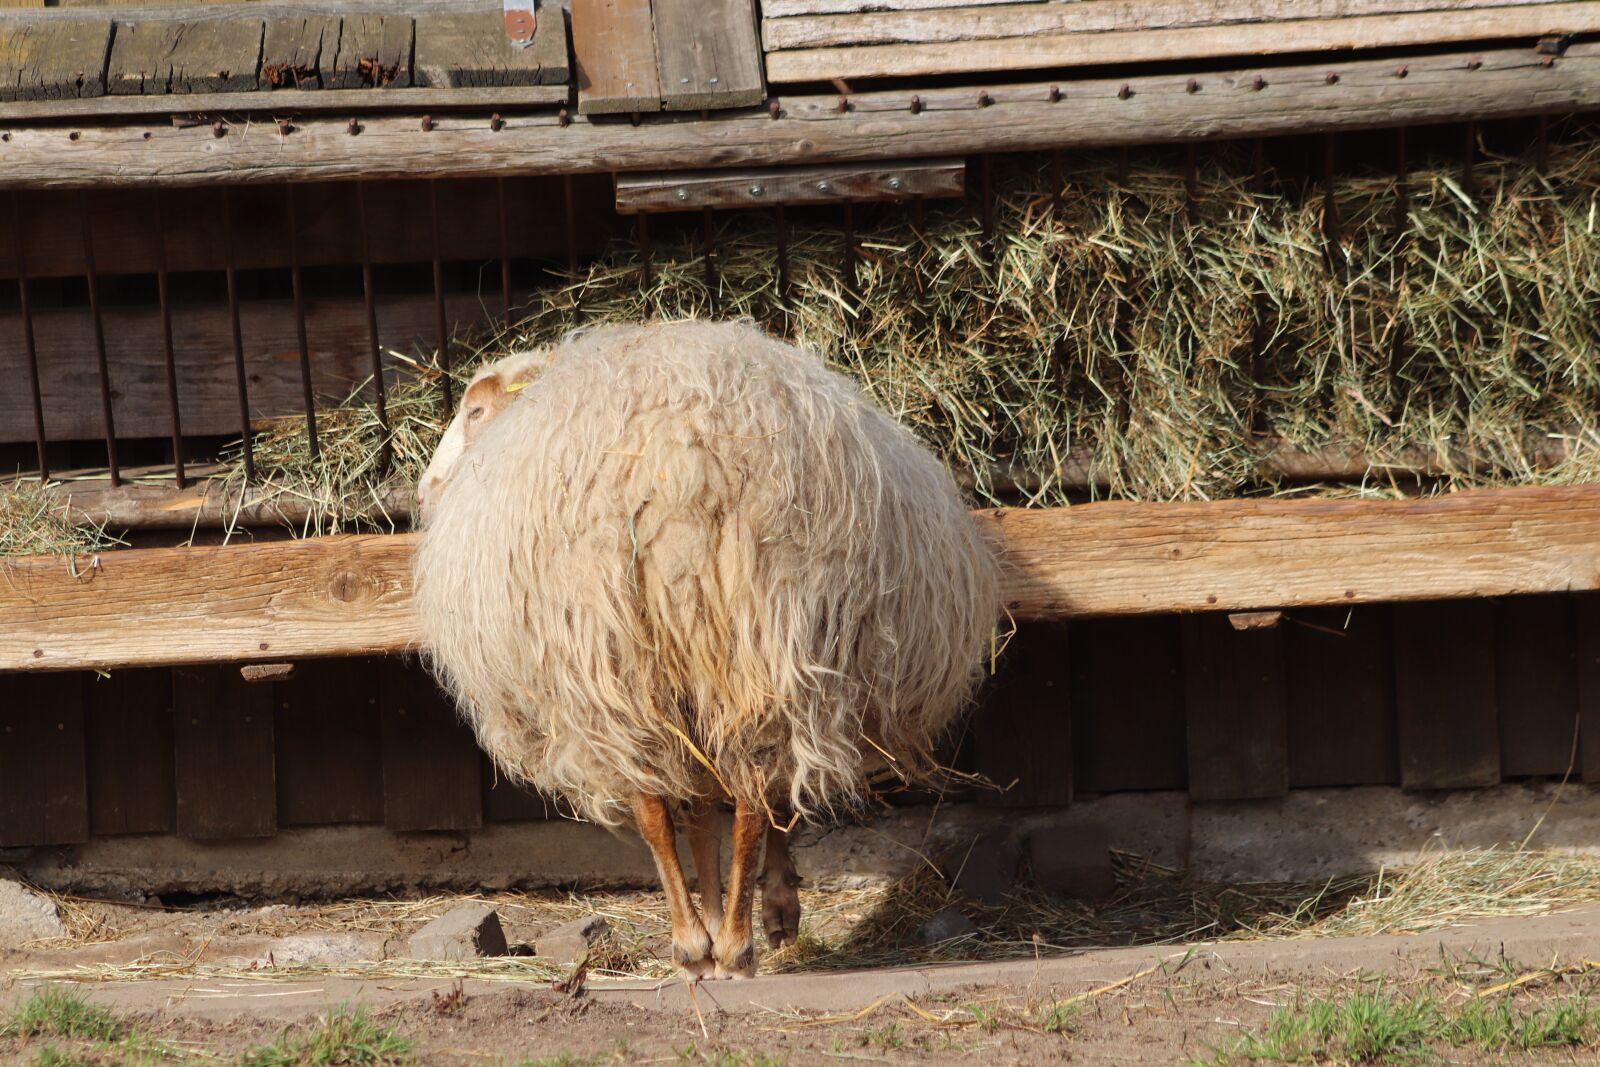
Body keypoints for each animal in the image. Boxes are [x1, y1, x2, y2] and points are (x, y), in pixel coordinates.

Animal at [413, 320, 1001, 978]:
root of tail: (684, 466)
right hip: (734, 642)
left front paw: (748, 916)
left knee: (694, 800)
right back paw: (722, 941)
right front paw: (755, 908)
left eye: (475, 411)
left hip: (651, 656)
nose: (424, 491)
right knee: (735, 796)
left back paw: (707, 946)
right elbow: (710, 816)